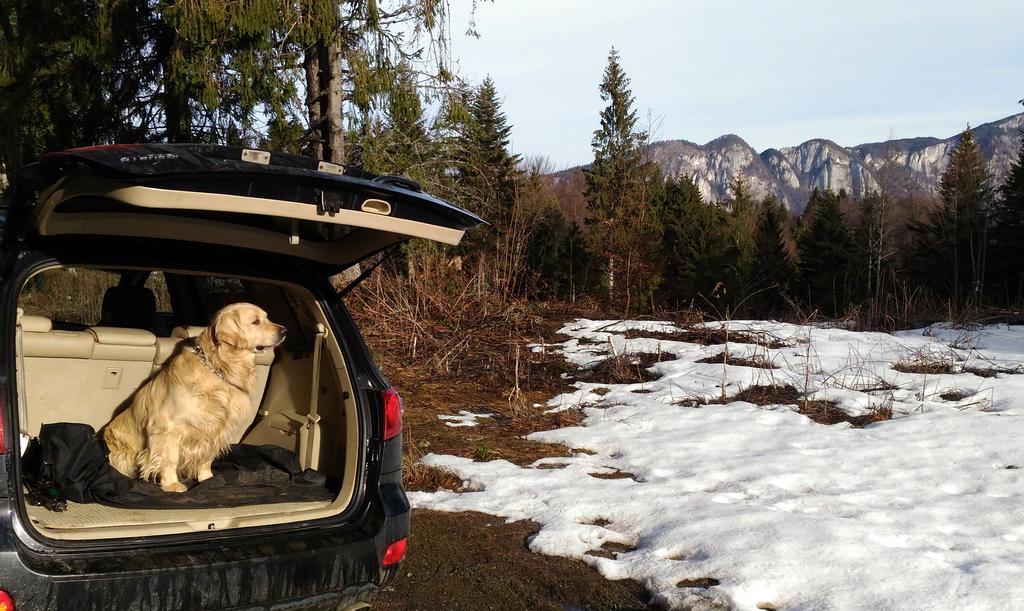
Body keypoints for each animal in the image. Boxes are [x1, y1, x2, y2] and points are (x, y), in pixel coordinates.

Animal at [103, 302, 286, 493]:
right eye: (255, 322)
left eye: (267, 318)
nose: (284, 331)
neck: (218, 368)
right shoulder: (169, 427)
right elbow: (169, 458)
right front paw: (171, 484)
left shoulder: (215, 427)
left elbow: (206, 458)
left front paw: (207, 479)